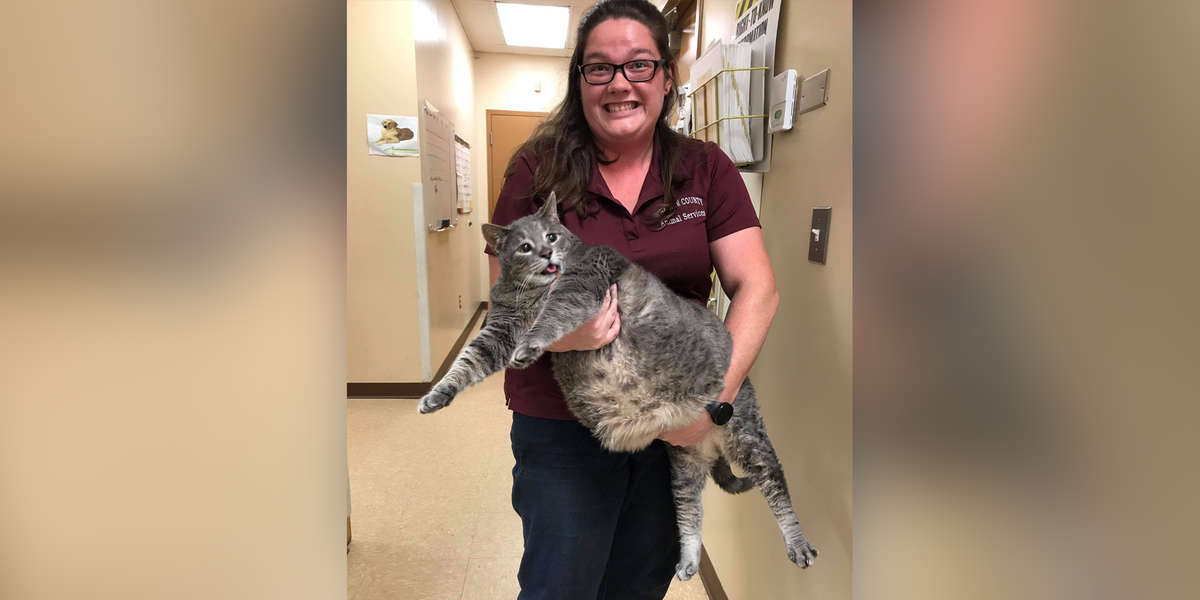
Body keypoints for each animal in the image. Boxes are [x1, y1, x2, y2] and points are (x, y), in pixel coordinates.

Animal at [417, 193, 820, 580]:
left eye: (551, 236)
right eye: (525, 247)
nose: (547, 253)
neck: (534, 294)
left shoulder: (581, 287)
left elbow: (551, 318)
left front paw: (530, 345)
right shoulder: (500, 329)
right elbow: (469, 360)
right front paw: (437, 394)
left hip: (747, 436)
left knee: (776, 483)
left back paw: (798, 544)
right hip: (684, 465)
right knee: (691, 511)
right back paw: (689, 559)